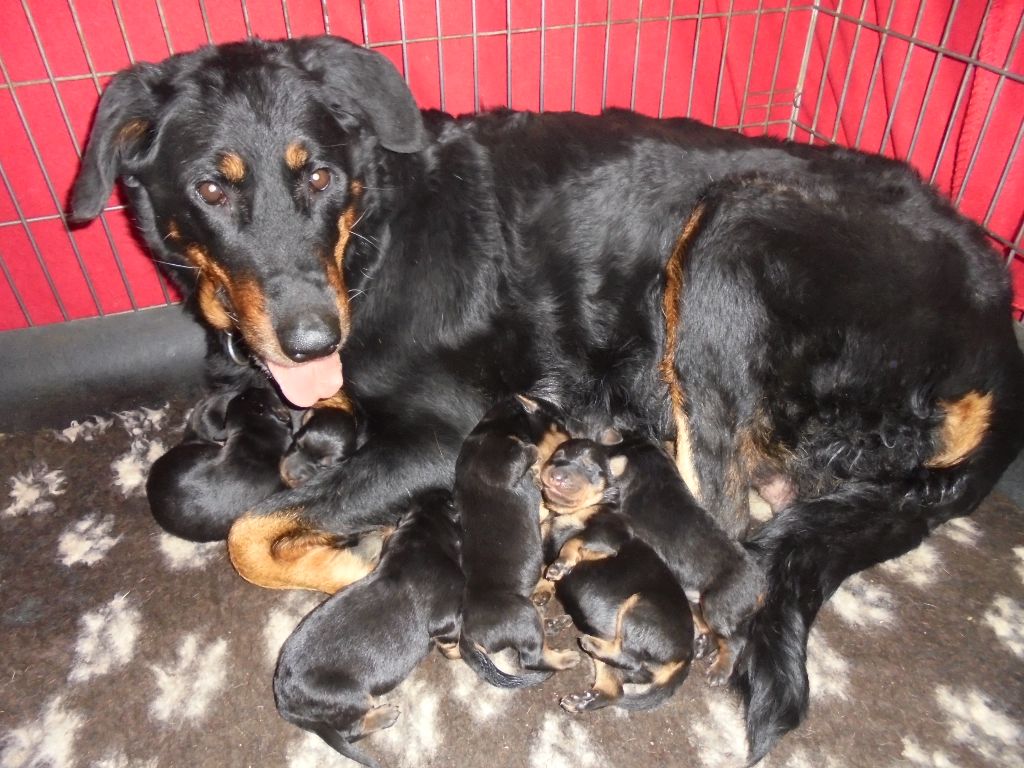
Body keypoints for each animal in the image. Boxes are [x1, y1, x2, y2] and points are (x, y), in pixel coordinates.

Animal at [274, 489, 462, 765]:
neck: (422, 536)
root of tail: (283, 701)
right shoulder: (445, 618)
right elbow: (454, 639)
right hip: (351, 696)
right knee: (351, 731)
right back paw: (384, 716)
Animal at [454, 393, 577, 688]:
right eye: (560, 426)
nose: (576, 439)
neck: (497, 425)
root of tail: (467, 636)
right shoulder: (502, 461)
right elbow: (530, 451)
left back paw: (555, 624)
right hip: (522, 613)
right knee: (532, 658)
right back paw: (567, 659)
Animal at [536, 438, 696, 716]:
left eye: (589, 468)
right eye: (557, 457)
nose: (556, 474)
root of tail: (685, 658)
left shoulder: (609, 534)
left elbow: (573, 541)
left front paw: (561, 565)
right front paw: (544, 587)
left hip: (641, 608)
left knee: (630, 658)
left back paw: (592, 645)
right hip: (614, 660)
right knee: (614, 688)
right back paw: (580, 700)